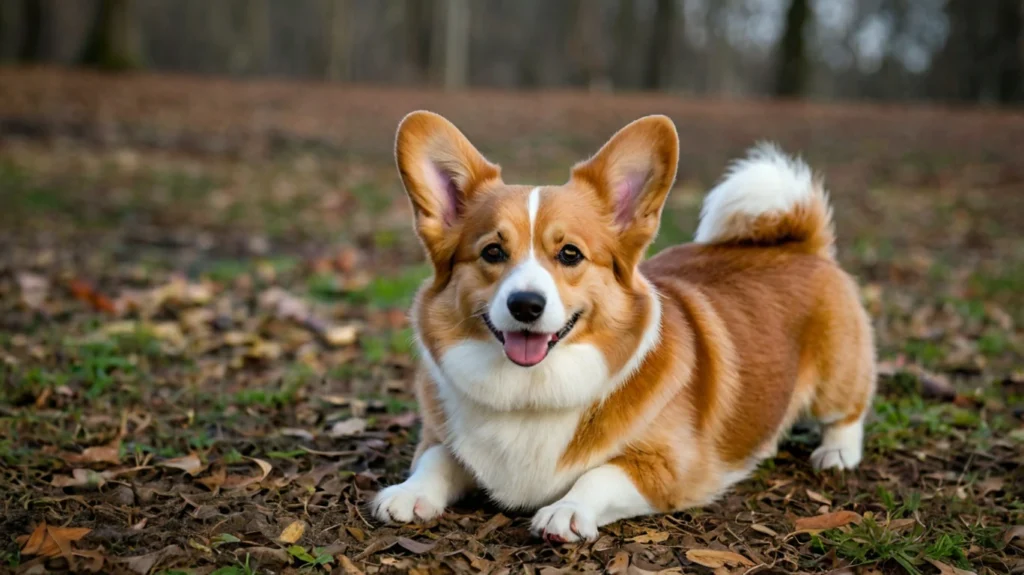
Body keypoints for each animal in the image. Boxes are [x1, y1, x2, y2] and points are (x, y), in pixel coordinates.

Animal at [372, 109, 876, 540]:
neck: (531, 390)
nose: (525, 305)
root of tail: (799, 241)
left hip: (835, 379)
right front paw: (408, 494)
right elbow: (436, 459)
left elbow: (601, 474)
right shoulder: (445, 442)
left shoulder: (668, 468)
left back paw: (837, 452)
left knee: (849, 410)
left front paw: (566, 510)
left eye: (570, 253)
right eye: (492, 252)